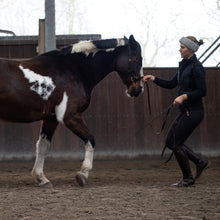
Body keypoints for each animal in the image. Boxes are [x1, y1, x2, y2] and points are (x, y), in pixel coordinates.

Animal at [0, 34, 144, 187]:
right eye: (137, 58)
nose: (138, 89)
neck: (74, 69)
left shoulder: (51, 118)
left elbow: (43, 146)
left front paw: (41, 178)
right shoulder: (70, 116)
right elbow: (90, 139)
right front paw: (83, 174)